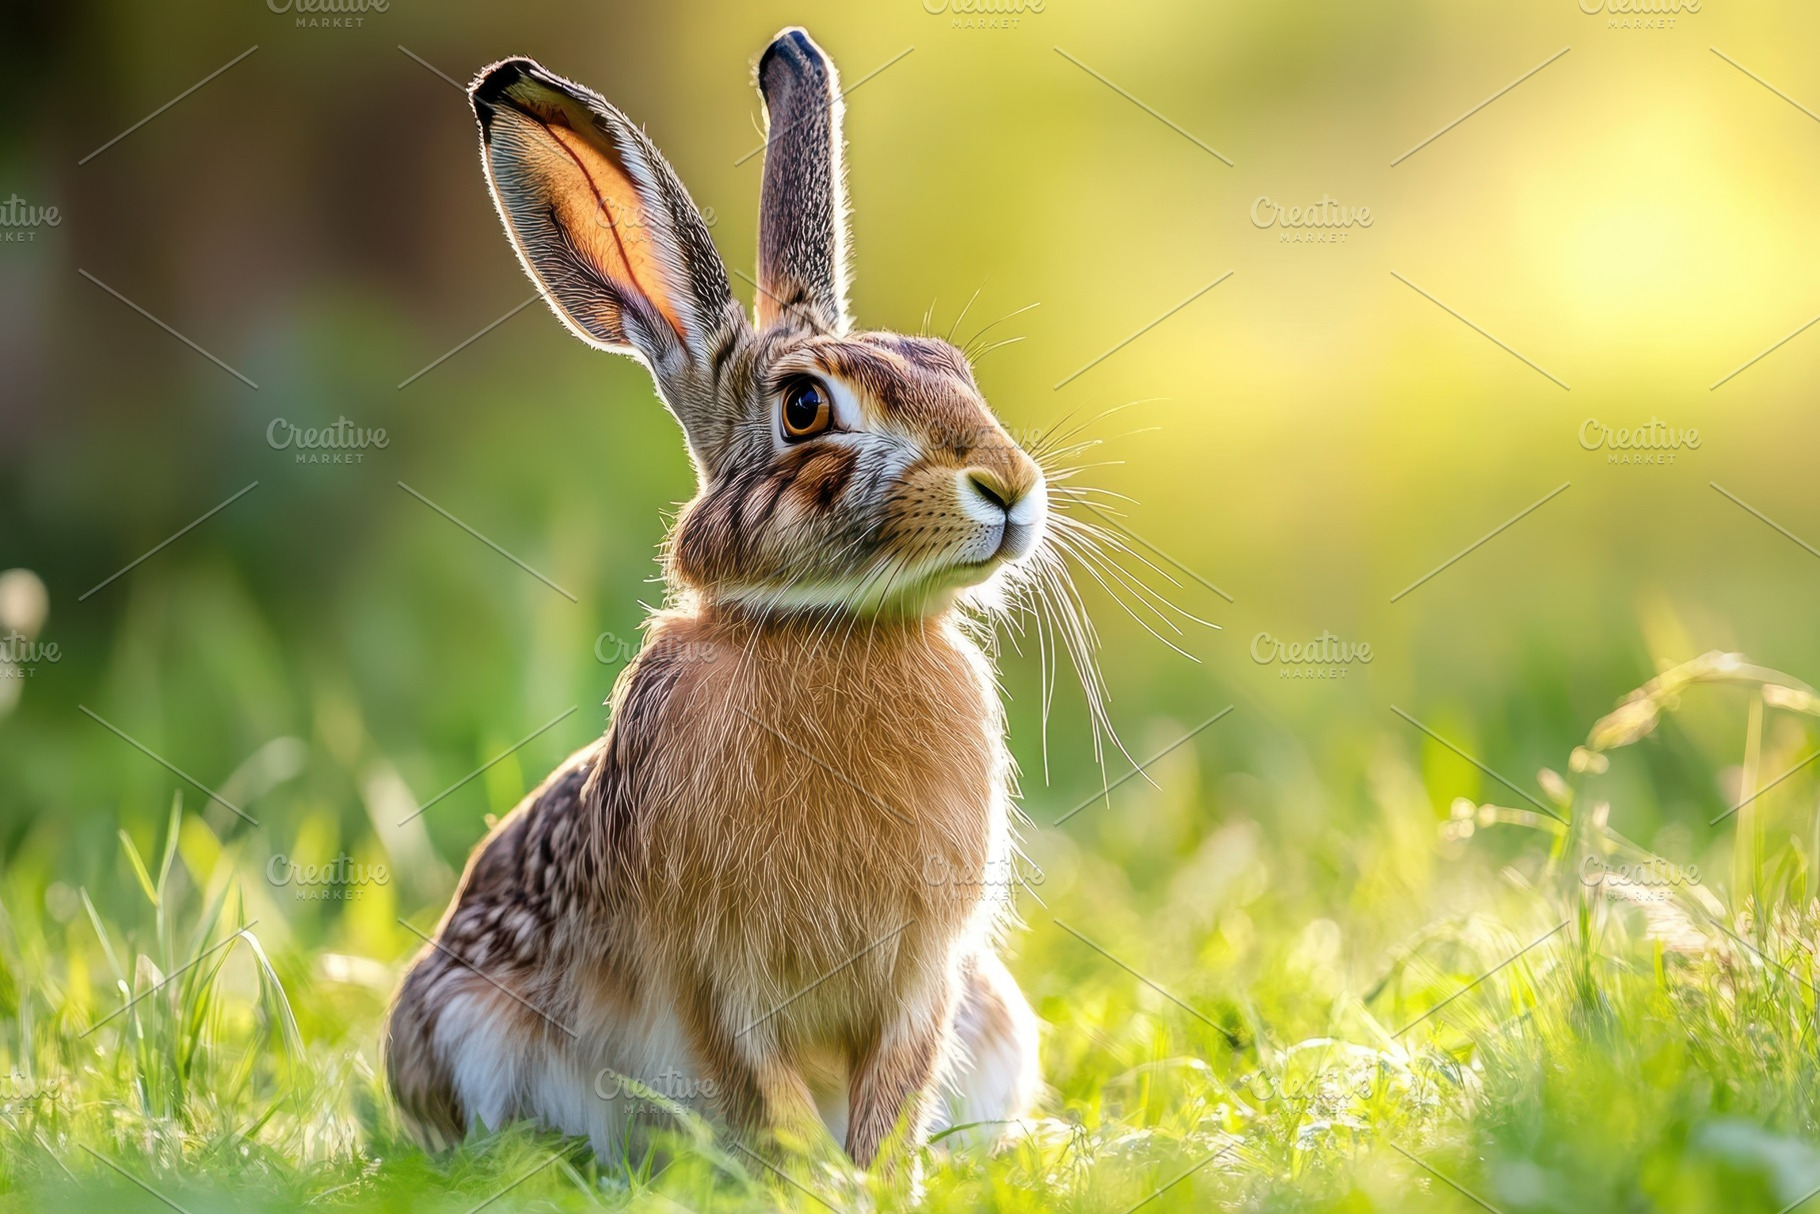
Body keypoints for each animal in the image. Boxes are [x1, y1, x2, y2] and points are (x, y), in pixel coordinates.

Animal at [385, 27, 1046, 1170]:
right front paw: (815, 1179)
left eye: (953, 368)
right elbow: (762, 1086)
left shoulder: (926, 975)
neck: (829, 625)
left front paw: (872, 1178)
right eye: (804, 407)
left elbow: (892, 1086)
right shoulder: (712, 972)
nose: (1007, 485)